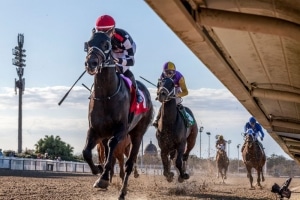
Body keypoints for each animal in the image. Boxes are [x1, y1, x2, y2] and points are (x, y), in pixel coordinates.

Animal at [82, 32, 154, 199]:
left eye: (106, 44)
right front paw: (98, 170)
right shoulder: (94, 129)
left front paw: (103, 178)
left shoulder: (121, 129)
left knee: (129, 164)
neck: (106, 95)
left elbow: (112, 148)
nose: (91, 63)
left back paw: (122, 192)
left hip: (137, 134)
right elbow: (86, 152)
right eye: (88, 44)